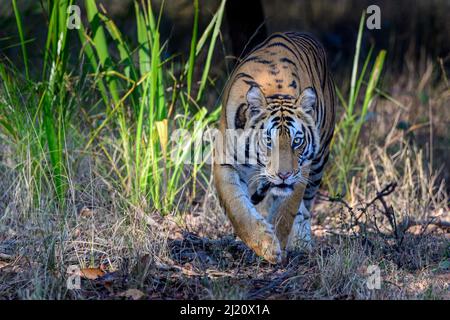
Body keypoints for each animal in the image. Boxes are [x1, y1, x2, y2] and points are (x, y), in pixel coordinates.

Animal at [213, 31, 336, 264]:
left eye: (297, 141)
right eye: (269, 141)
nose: (284, 175)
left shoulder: (301, 170)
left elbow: (285, 213)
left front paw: (275, 246)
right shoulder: (225, 161)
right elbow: (237, 209)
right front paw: (265, 245)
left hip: (319, 161)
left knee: (306, 206)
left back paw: (302, 243)